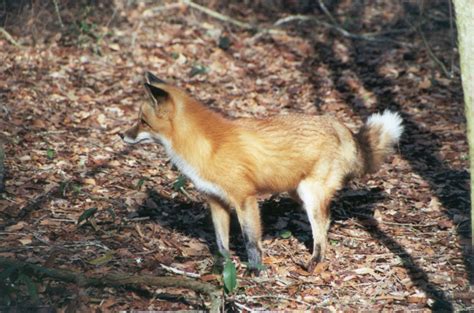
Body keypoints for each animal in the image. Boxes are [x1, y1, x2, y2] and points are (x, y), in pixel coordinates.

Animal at [119, 72, 404, 272]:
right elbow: (221, 243)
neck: (205, 146)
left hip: (309, 194)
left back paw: (314, 263)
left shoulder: (245, 199)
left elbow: (251, 242)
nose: (122, 135)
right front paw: (224, 267)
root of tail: (340, 125)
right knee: (327, 221)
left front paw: (255, 271)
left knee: (321, 230)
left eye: (142, 122)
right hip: (297, 193)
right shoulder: (216, 201)